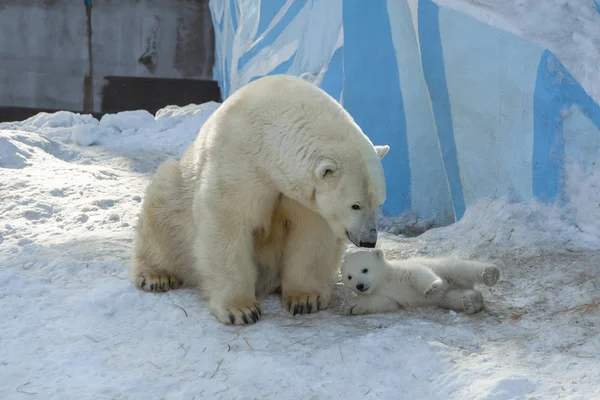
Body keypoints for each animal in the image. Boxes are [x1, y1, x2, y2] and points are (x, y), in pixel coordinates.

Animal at [132, 74, 392, 324]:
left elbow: (311, 232)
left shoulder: (300, 195)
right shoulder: (237, 162)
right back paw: (156, 276)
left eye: (379, 203)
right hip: (179, 188)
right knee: (163, 206)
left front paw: (305, 298)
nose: (369, 240)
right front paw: (240, 310)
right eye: (355, 205)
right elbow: (227, 223)